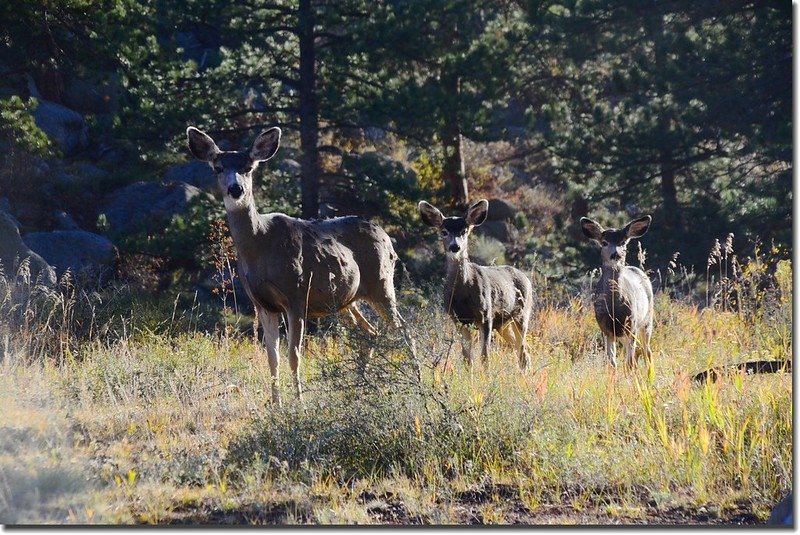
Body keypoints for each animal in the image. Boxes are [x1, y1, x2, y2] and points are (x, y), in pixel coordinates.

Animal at [186, 125, 412, 406]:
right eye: (217, 167)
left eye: (249, 167)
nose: (235, 189)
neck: (260, 246)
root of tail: (388, 238)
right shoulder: (262, 304)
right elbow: (272, 358)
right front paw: (276, 404)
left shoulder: (296, 294)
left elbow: (294, 356)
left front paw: (300, 404)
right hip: (345, 300)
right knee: (371, 332)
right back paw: (360, 386)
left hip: (381, 284)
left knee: (405, 331)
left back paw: (418, 379)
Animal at [416, 199, 536, 370]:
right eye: (444, 231)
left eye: (464, 230)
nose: (455, 247)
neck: (463, 293)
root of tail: (526, 278)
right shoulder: (458, 319)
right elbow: (467, 358)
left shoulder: (486, 316)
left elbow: (485, 357)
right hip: (503, 323)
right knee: (522, 350)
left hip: (522, 313)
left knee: (522, 350)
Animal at [580, 214, 656, 368]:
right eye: (604, 242)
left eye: (623, 242)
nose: (616, 254)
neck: (614, 307)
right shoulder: (606, 328)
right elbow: (612, 362)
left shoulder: (631, 324)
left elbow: (629, 362)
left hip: (646, 319)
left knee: (647, 351)